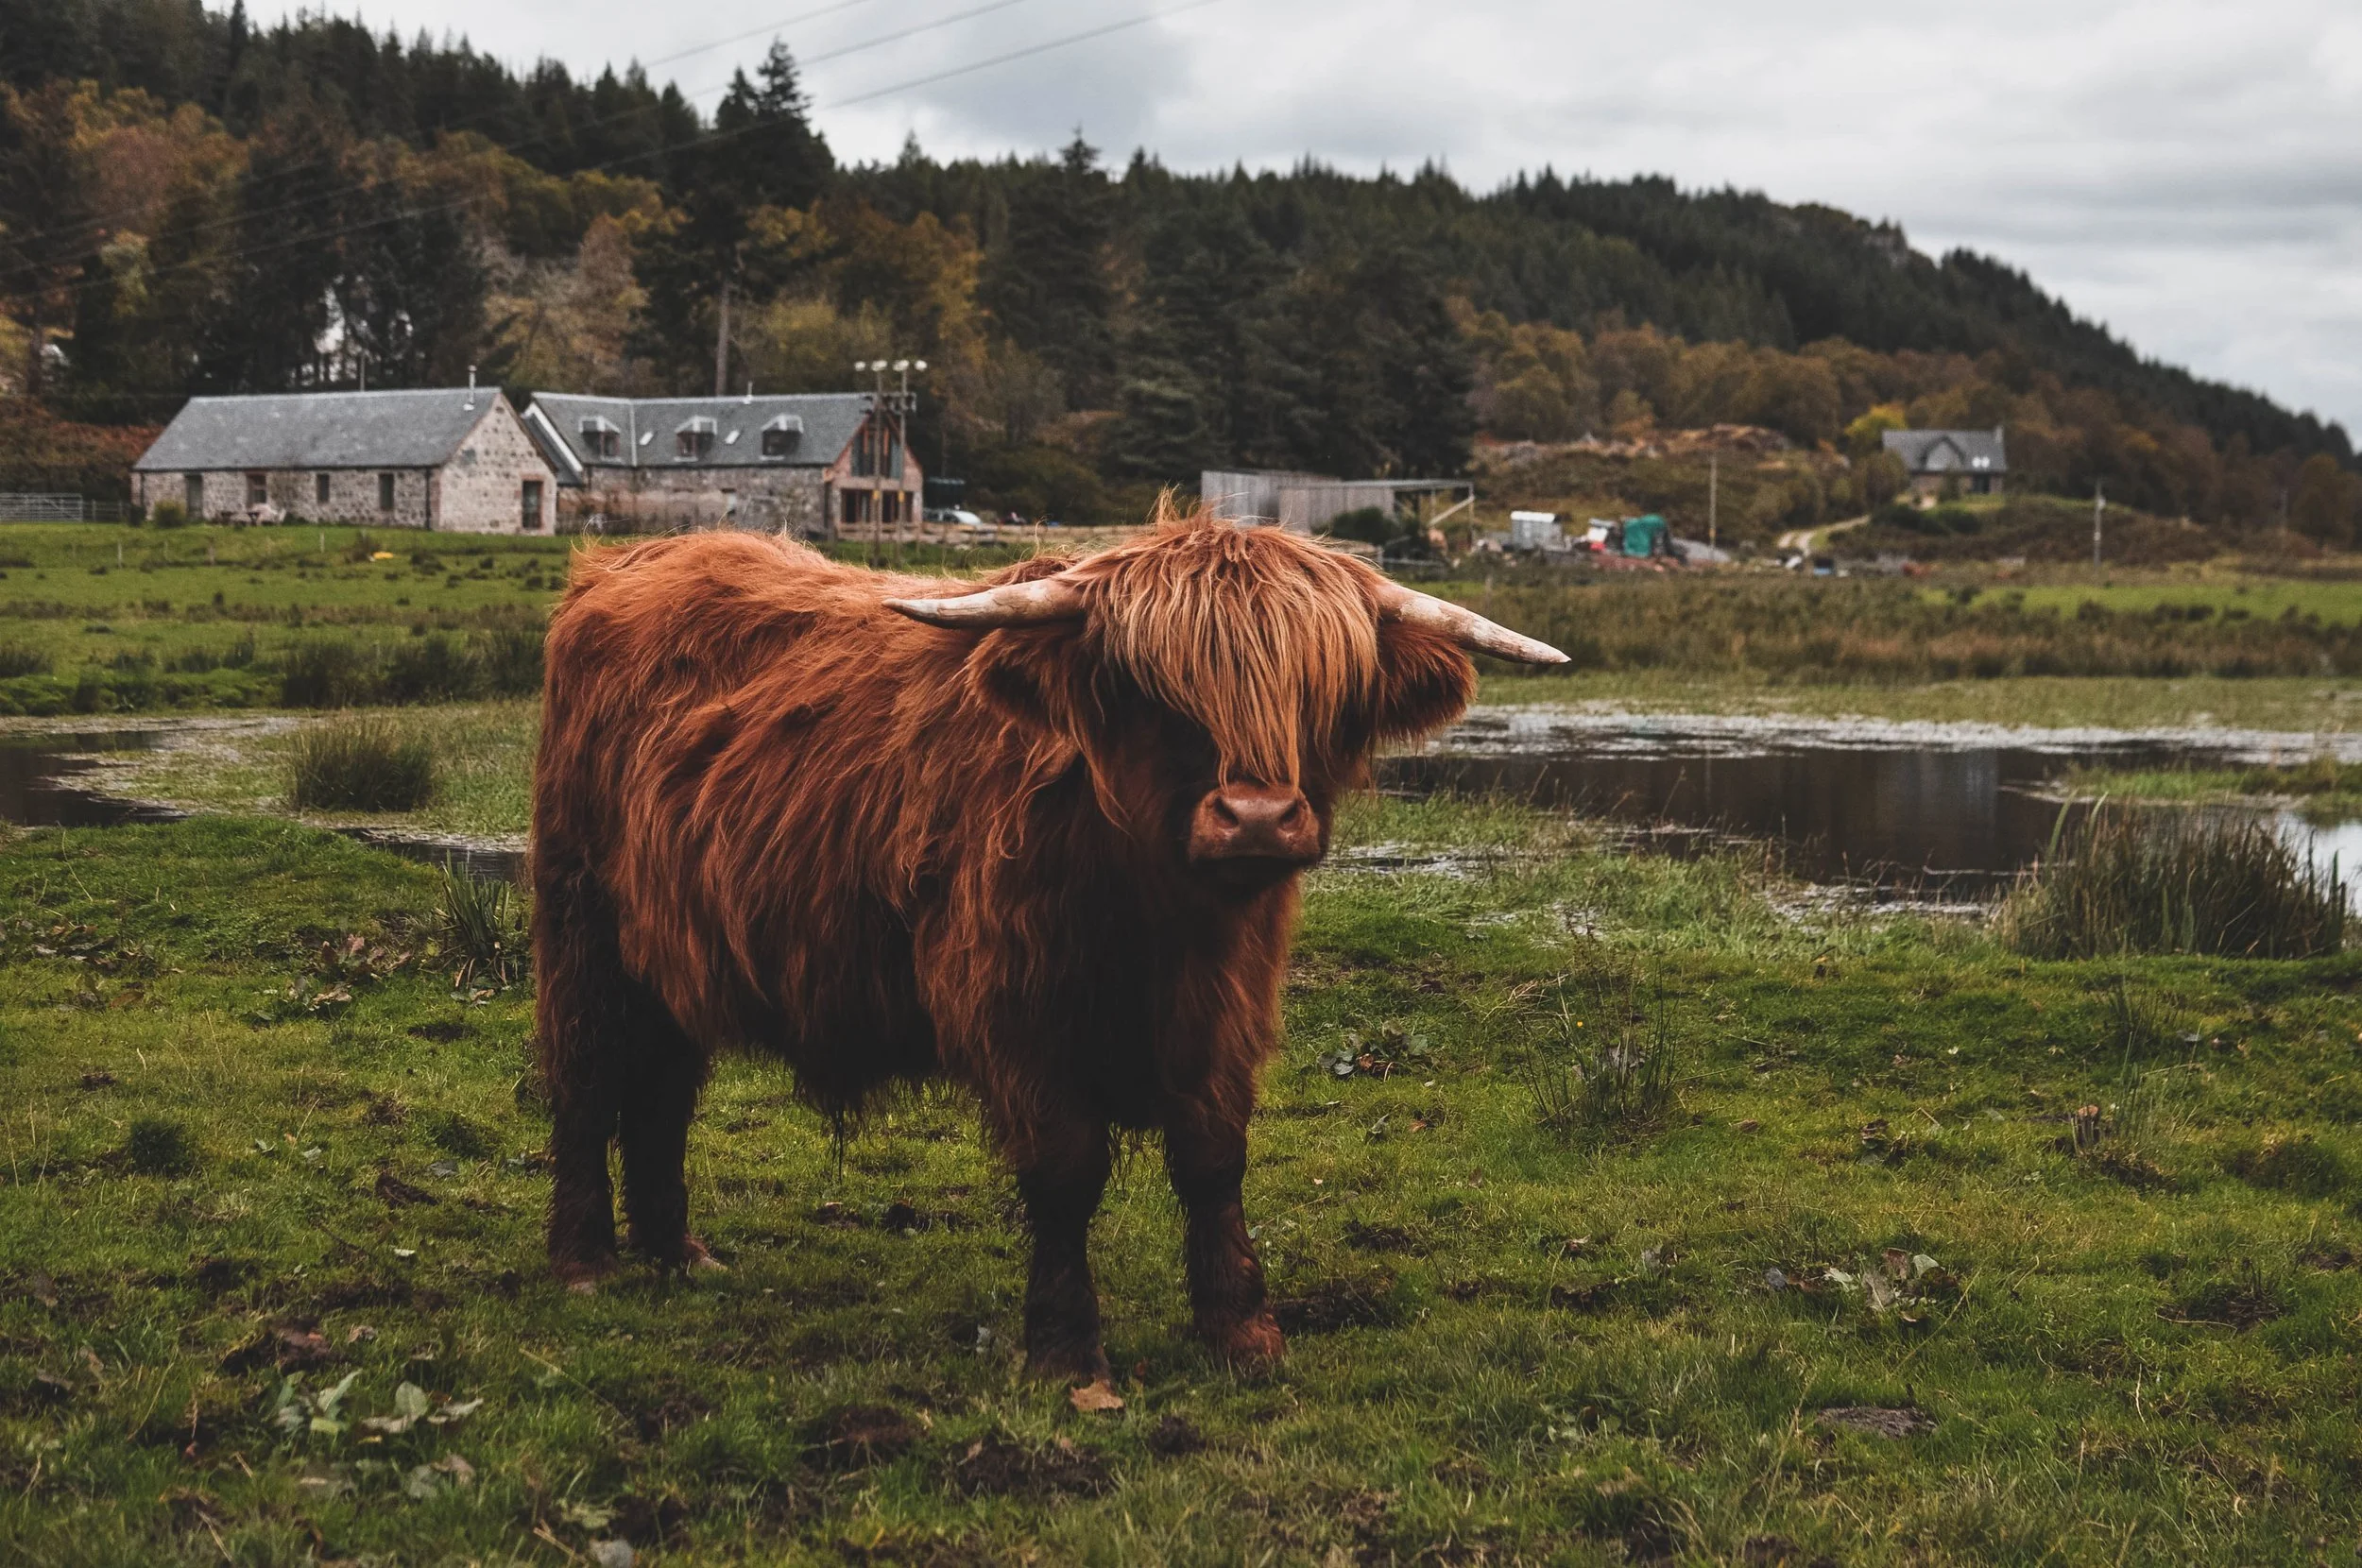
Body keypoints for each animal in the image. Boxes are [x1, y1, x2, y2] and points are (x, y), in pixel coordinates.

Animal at [532, 502, 1566, 1381]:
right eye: (1158, 693)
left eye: (1324, 692)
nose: (1258, 818)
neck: (1156, 916)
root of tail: (628, 563)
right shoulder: (1013, 1004)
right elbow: (1067, 1169)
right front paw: (1070, 1354)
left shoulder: (1228, 1005)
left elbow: (1213, 1158)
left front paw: (1242, 1331)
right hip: (582, 922)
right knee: (586, 1076)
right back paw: (585, 1263)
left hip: (672, 949)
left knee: (663, 1092)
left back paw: (678, 1254)